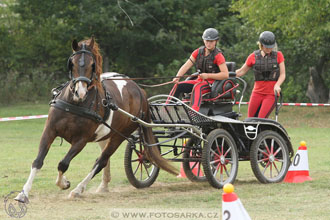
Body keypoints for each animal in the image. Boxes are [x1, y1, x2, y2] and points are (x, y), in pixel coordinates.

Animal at [14, 36, 178, 203]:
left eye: (92, 65)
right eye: (72, 63)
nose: (80, 92)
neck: (75, 104)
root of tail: (140, 90)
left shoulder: (81, 140)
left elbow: (63, 164)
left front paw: (63, 183)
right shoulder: (50, 131)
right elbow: (38, 161)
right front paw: (23, 193)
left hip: (118, 136)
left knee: (101, 161)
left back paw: (78, 189)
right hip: (105, 135)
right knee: (103, 161)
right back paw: (103, 186)